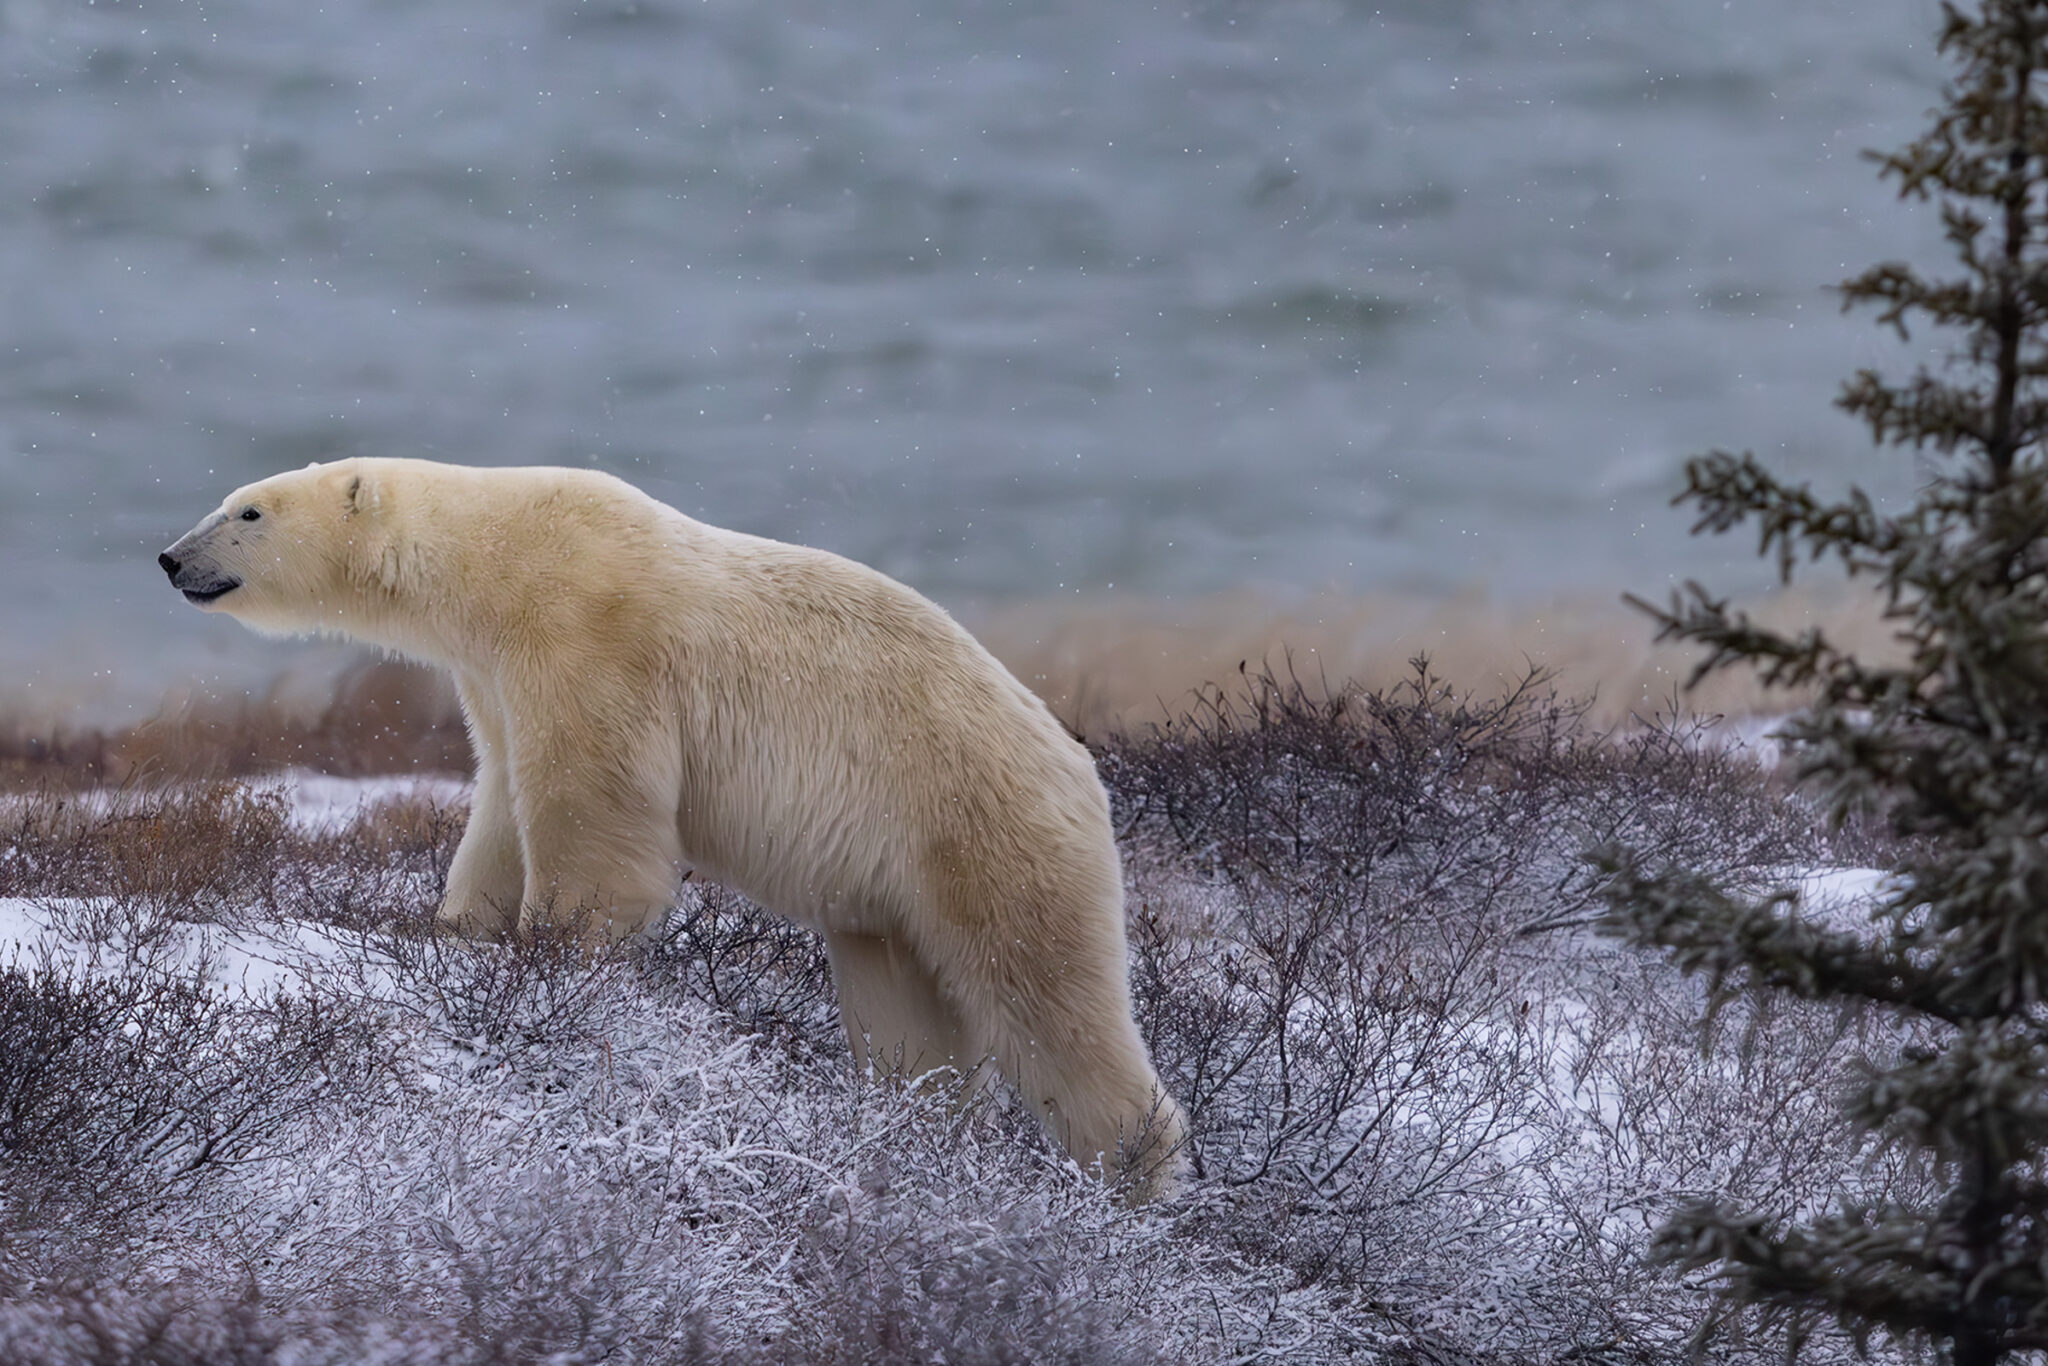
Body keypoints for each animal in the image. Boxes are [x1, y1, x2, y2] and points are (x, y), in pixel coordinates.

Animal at [160, 458, 1185, 1199]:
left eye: (247, 511)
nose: (170, 558)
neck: (493, 554)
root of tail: (1082, 770)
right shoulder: (491, 674)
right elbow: (500, 805)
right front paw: (457, 931)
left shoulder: (584, 635)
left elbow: (593, 814)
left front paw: (557, 955)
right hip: (893, 888)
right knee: (906, 1009)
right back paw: (903, 1125)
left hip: (979, 827)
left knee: (1047, 998)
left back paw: (1130, 1175)